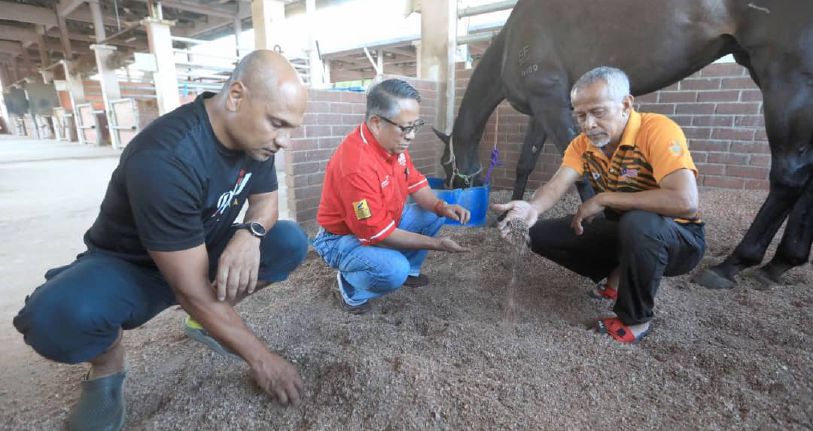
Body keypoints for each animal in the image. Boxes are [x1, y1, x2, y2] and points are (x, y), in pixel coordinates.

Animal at [438, 0, 812, 290]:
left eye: (446, 165)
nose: (454, 189)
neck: (512, 42)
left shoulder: (550, 103)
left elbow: (579, 174)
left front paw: (590, 224)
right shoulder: (539, 108)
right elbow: (525, 162)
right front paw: (506, 216)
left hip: (787, 74)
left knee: (788, 176)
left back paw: (732, 265)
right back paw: (779, 264)